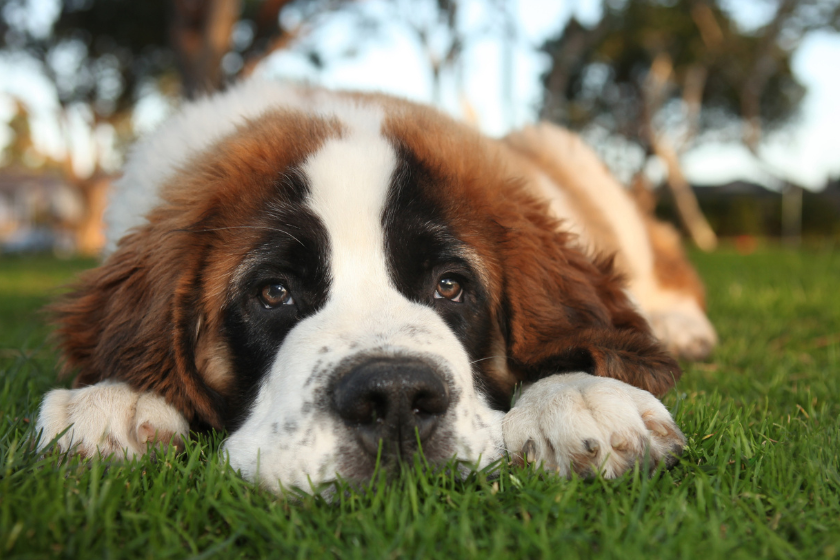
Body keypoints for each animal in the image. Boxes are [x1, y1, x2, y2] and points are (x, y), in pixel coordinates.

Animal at [34, 77, 716, 490]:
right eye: (274, 292)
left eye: (449, 286)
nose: (394, 397)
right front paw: (112, 401)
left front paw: (576, 395)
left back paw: (684, 327)